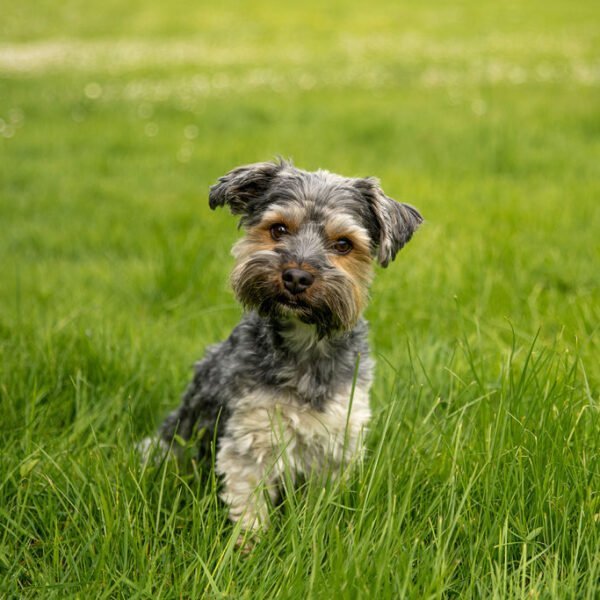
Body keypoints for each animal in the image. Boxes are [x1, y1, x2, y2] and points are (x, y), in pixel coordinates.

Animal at [140, 159, 422, 540]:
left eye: (343, 244)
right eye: (278, 229)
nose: (297, 277)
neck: (305, 342)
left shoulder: (337, 438)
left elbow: (322, 505)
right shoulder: (253, 435)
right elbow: (249, 504)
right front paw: (249, 546)